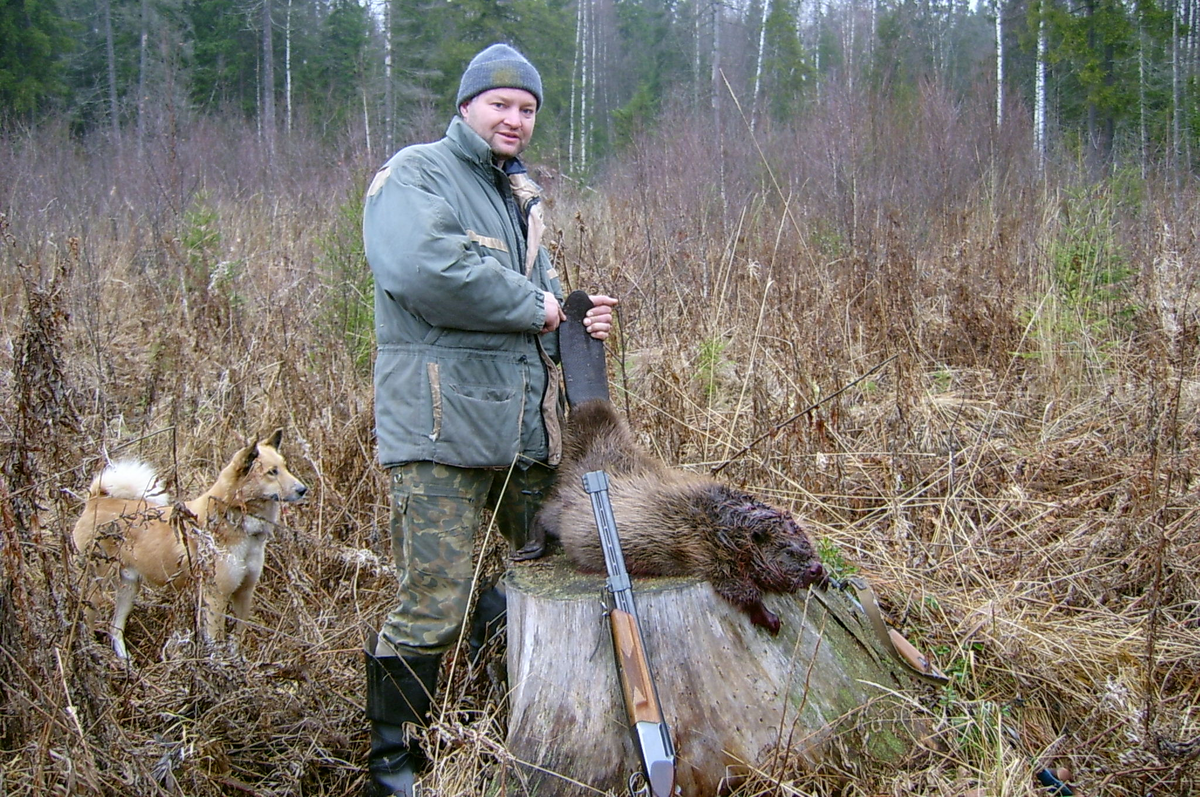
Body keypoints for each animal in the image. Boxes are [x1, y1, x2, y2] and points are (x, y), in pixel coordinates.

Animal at [73, 429, 309, 657]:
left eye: (285, 467)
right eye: (272, 472)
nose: (303, 489)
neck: (234, 521)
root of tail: (96, 500)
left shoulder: (244, 592)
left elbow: (237, 639)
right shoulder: (216, 597)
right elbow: (216, 642)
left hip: (128, 587)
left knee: (115, 629)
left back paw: (124, 662)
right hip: (95, 586)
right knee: (86, 621)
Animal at [516, 398, 825, 633]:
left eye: (806, 544)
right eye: (788, 551)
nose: (815, 568)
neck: (721, 519)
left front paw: (824, 579)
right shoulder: (705, 551)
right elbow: (739, 588)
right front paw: (770, 619)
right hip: (564, 507)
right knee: (543, 513)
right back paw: (529, 549)